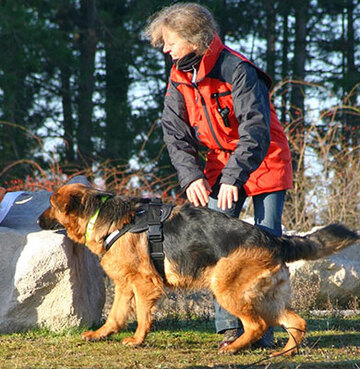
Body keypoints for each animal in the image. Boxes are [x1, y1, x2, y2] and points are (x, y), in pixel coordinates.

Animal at [38, 183, 358, 356]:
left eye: (51, 205)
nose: (39, 222)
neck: (99, 214)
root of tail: (274, 238)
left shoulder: (143, 285)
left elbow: (141, 316)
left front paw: (138, 340)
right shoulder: (125, 284)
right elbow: (116, 316)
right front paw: (102, 334)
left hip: (227, 290)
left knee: (256, 325)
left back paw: (233, 348)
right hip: (265, 298)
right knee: (296, 322)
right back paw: (285, 353)